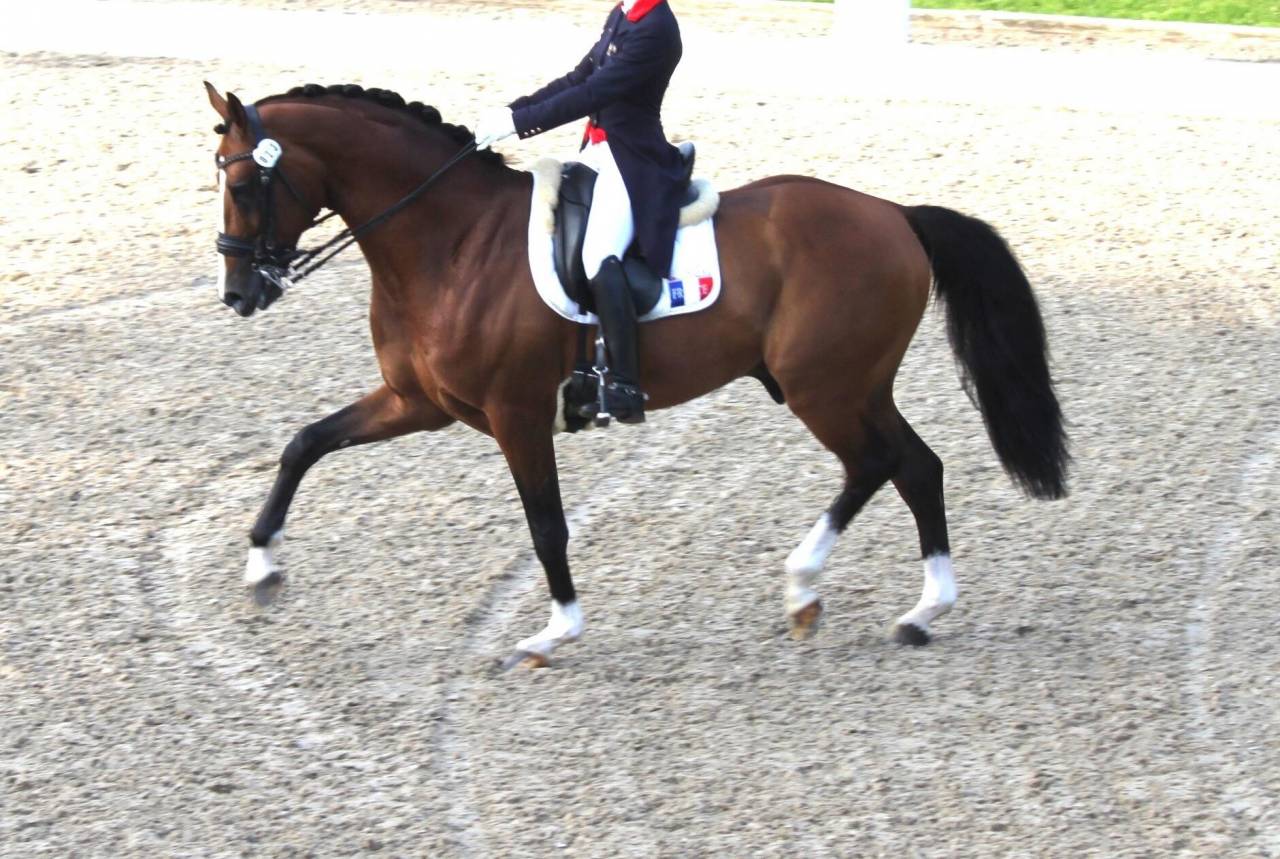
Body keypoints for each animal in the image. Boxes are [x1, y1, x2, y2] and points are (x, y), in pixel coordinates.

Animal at [206, 82, 1069, 668]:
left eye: (244, 183)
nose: (240, 293)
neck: (452, 243)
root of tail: (894, 213)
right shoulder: (415, 400)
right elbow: (305, 442)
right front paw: (261, 565)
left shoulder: (516, 414)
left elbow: (546, 525)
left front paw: (555, 628)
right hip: (855, 384)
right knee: (917, 466)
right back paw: (921, 610)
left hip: (824, 386)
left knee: (879, 463)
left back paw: (805, 585)